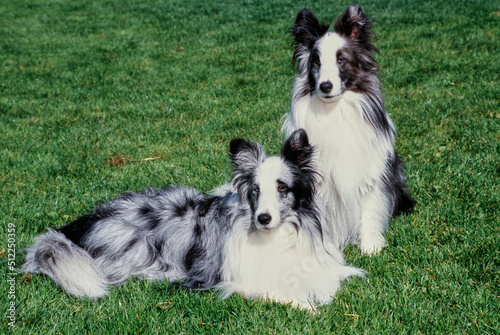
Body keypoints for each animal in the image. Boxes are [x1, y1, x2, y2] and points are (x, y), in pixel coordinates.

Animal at [23, 130, 362, 312]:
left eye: (282, 187)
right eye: (255, 189)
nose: (263, 218)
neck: (277, 236)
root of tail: (81, 223)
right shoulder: (243, 281)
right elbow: (281, 293)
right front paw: (308, 307)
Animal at [282, 5, 414, 255]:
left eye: (341, 59)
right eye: (316, 62)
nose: (325, 86)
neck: (335, 110)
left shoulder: (371, 170)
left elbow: (370, 207)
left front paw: (370, 246)